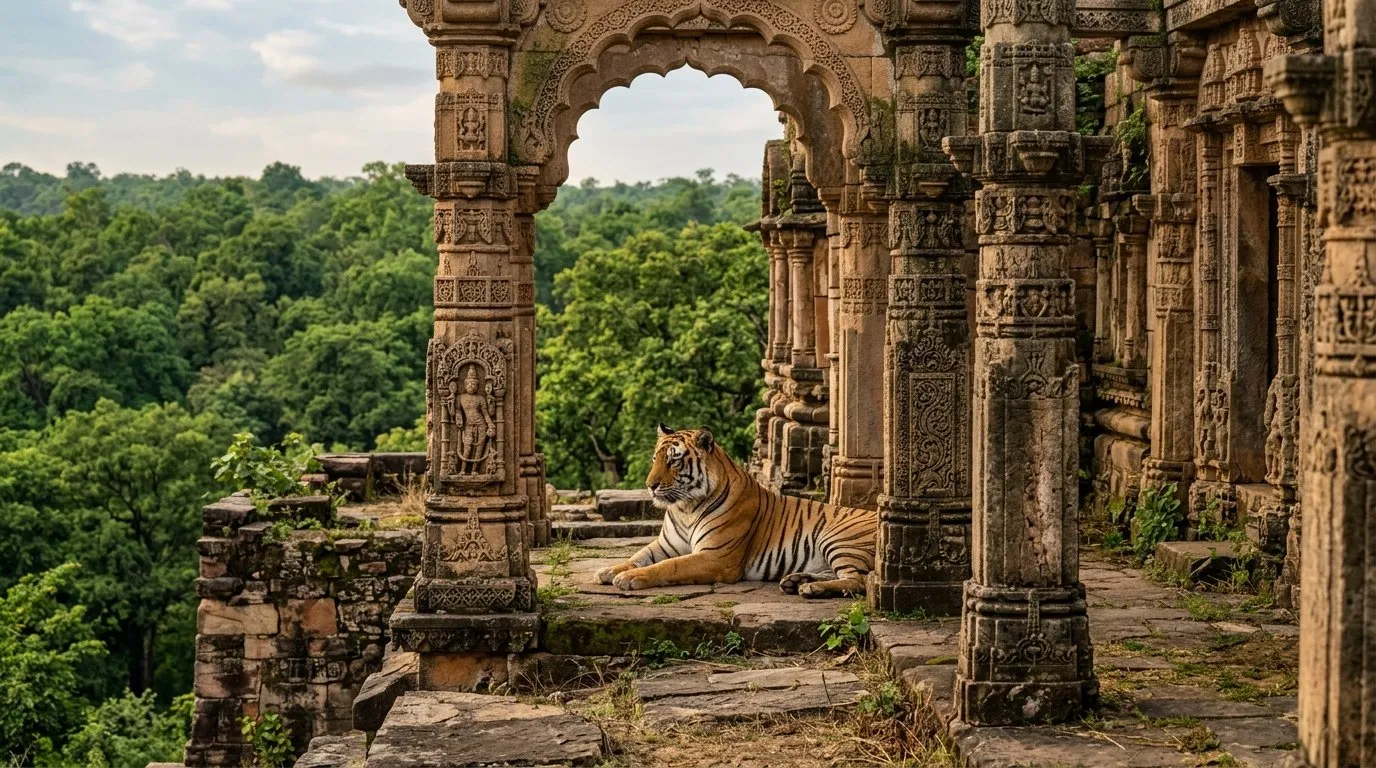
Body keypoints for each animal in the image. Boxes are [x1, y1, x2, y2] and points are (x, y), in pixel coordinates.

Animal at [594, 424, 879, 598]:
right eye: (655, 459)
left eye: (674, 460)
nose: (650, 485)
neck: (685, 508)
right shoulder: (666, 544)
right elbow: (638, 556)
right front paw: (608, 571)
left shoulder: (716, 556)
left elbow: (668, 566)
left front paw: (629, 577)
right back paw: (796, 581)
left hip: (838, 539)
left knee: (859, 581)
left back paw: (812, 588)